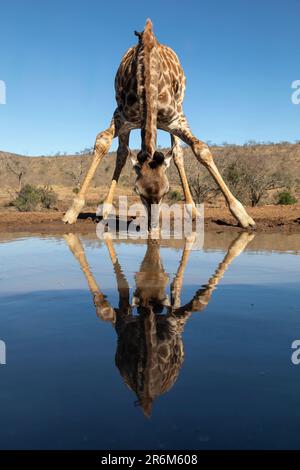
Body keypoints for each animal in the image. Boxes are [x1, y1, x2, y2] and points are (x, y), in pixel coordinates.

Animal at [63, 19, 255, 229]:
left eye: (167, 191)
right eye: (137, 191)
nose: (152, 226)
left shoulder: (176, 120)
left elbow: (201, 149)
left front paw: (243, 216)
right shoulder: (121, 116)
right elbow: (103, 142)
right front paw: (72, 211)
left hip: (178, 111)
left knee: (178, 154)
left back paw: (192, 210)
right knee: (122, 153)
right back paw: (105, 208)